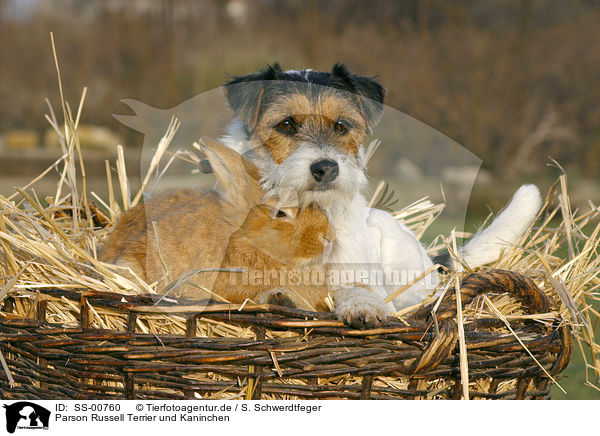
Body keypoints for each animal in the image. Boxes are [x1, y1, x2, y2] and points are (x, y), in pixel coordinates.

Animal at [218, 63, 540, 328]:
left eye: (341, 125)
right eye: (286, 124)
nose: (326, 168)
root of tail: (431, 257)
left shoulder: (352, 271)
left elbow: (358, 288)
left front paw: (363, 307)